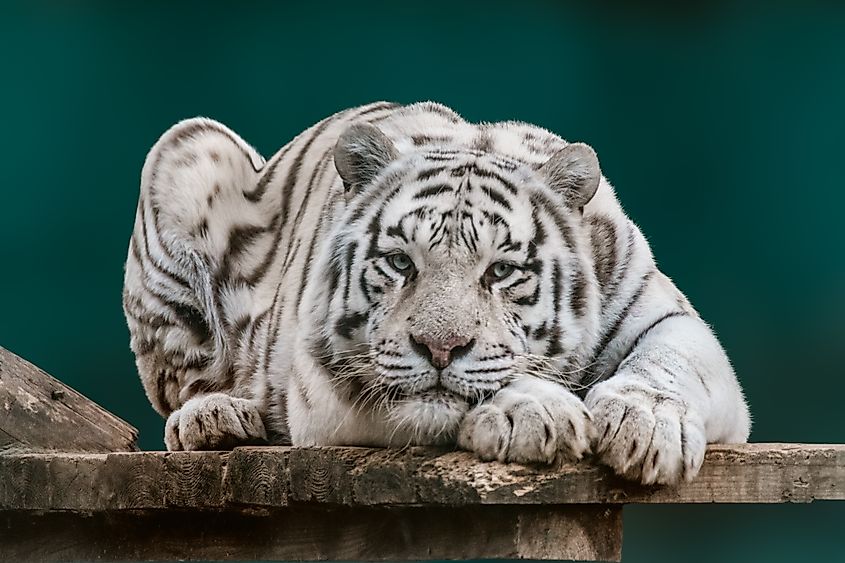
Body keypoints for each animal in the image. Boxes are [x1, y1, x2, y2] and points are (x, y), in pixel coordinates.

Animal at [122, 101, 750, 485]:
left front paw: (645, 426)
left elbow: (669, 364)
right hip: (185, 147)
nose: (440, 349)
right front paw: (538, 410)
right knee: (184, 387)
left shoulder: (666, 315)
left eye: (501, 271)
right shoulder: (327, 384)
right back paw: (215, 416)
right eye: (401, 262)